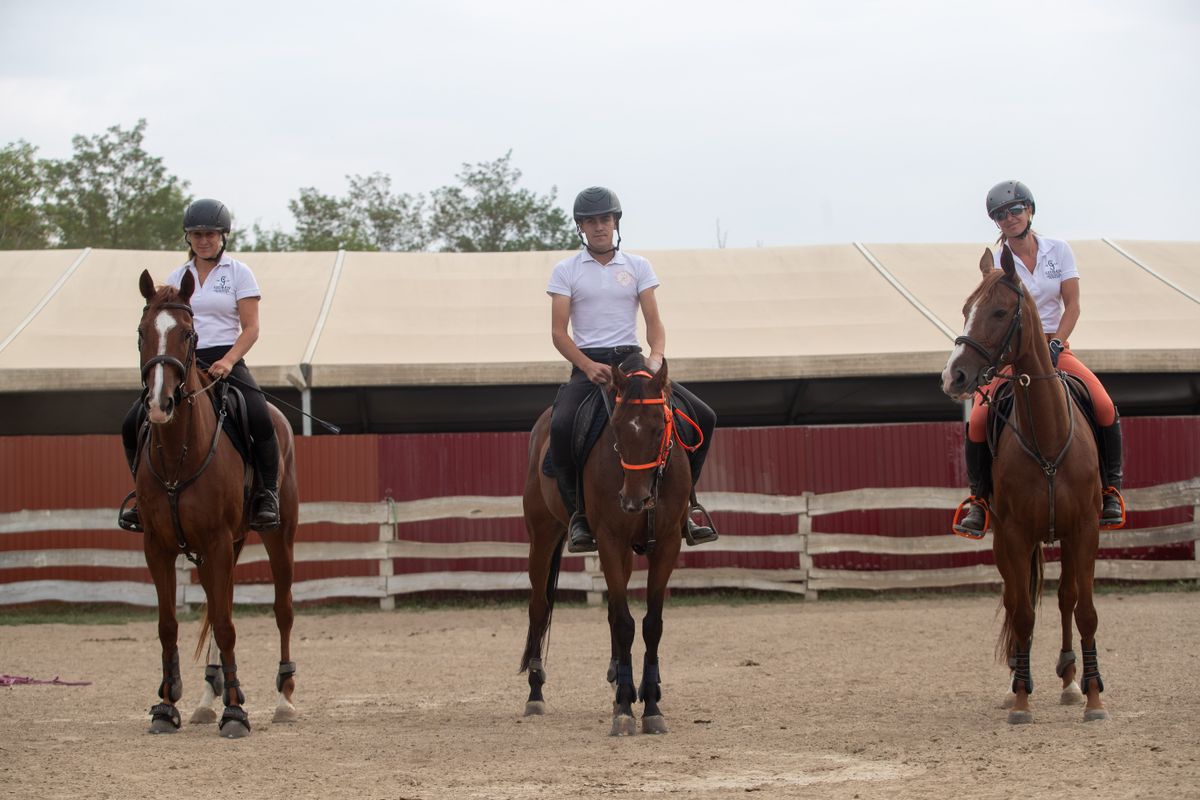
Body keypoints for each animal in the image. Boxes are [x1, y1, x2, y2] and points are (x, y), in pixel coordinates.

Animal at [131, 268, 297, 738]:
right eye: (142, 332)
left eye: (188, 334)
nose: (159, 404)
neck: (178, 452)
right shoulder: (158, 546)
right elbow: (169, 624)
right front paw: (166, 704)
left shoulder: (218, 543)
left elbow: (225, 625)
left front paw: (236, 712)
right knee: (215, 602)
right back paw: (208, 697)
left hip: (278, 535)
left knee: (282, 609)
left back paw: (284, 698)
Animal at [516, 357, 696, 738]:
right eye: (615, 427)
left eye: (659, 426)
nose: (633, 501)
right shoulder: (611, 539)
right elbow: (626, 624)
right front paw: (626, 710)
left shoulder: (667, 543)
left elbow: (650, 624)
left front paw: (651, 704)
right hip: (543, 535)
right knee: (539, 608)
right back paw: (536, 694)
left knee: (612, 612)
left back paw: (619, 682)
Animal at [940, 245, 1108, 724]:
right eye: (965, 310)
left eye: (999, 311)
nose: (954, 376)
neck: (1046, 439)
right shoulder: (1013, 536)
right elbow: (1023, 614)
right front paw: (1019, 698)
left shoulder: (1083, 531)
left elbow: (1085, 611)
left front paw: (1094, 698)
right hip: (1008, 540)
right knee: (1017, 602)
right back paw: (1020, 677)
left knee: (1066, 598)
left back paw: (1069, 680)